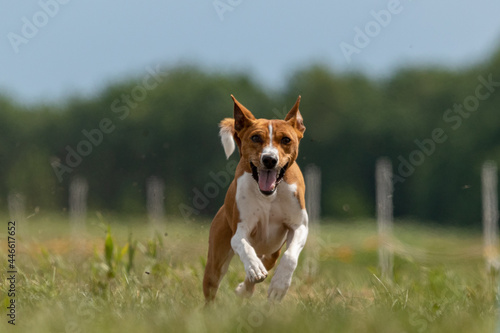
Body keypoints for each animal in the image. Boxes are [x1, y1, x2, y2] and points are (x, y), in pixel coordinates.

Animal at [203, 94, 308, 300]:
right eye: (255, 137)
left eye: (286, 139)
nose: (269, 159)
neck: (270, 196)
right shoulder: (240, 228)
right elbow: (242, 244)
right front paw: (253, 267)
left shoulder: (299, 225)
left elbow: (290, 256)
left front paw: (279, 285)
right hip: (216, 259)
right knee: (212, 284)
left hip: (273, 250)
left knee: (269, 260)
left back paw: (246, 288)